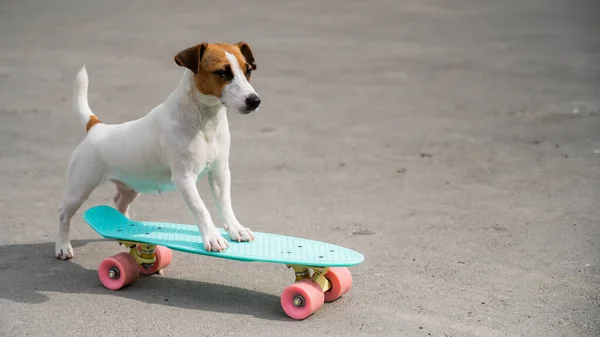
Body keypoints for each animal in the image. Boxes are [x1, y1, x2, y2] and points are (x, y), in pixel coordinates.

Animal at [55, 40, 260, 258]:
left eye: (248, 71)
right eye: (222, 72)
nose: (255, 101)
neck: (205, 122)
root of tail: (96, 127)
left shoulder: (220, 173)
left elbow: (225, 205)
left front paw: (236, 229)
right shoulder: (184, 179)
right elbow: (201, 209)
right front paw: (213, 238)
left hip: (130, 188)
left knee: (119, 202)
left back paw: (124, 228)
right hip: (79, 189)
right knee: (63, 214)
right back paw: (63, 246)